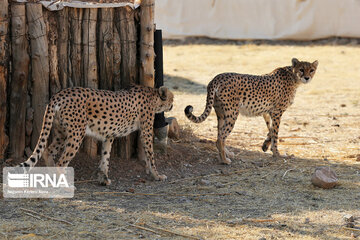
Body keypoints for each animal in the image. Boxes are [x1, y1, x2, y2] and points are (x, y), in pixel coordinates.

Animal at [19, 85, 174, 185]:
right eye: (172, 99)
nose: (173, 104)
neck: (153, 95)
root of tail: (59, 94)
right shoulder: (146, 132)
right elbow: (151, 155)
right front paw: (157, 175)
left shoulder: (109, 135)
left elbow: (105, 156)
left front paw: (103, 178)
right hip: (76, 134)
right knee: (61, 162)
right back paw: (65, 184)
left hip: (61, 132)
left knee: (47, 151)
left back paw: (53, 178)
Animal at [186, 58, 318, 164]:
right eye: (301, 69)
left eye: (311, 70)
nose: (307, 78)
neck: (293, 77)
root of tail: (216, 77)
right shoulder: (277, 112)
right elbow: (275, 133)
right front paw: (276, 153)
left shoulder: (267, 112)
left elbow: (270, 130)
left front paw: (265, 146)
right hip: (232, 113)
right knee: (221, 138)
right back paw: (224, 160)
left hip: (221, 113)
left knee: (219, 134)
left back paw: (227, 154)